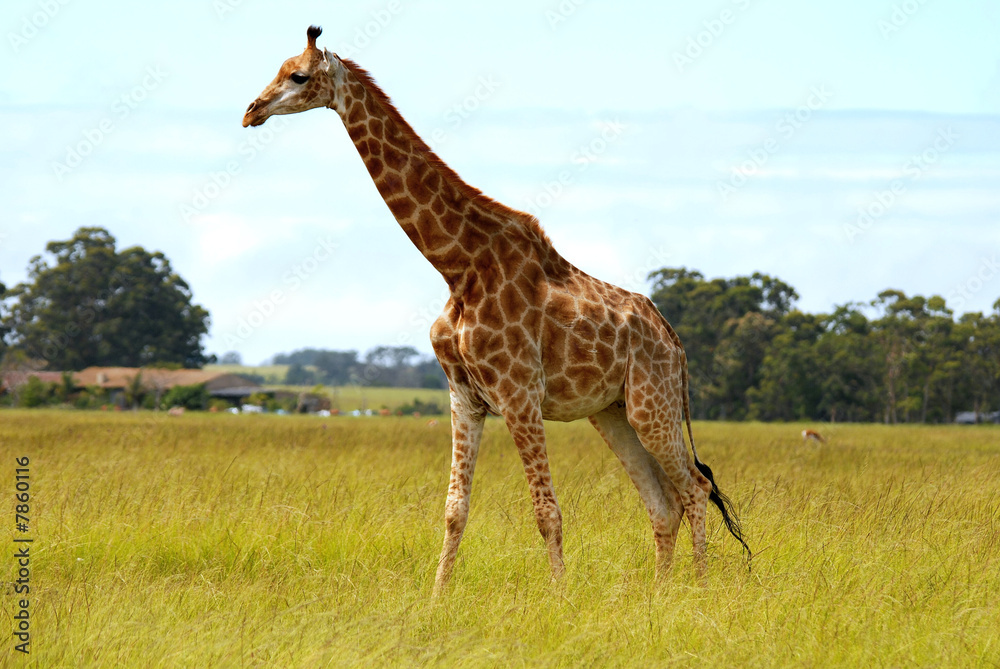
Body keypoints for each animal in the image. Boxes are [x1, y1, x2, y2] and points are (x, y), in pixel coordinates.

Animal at [243, 26, 750, 592]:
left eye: (298, 76)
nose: (251, 111)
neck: (459, 266)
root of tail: (674, 341)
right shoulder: (463, 396)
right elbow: (454, 510)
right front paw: (436, 598)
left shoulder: (519, 393)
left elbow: (547, 511)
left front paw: (559, 598)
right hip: (612, 413)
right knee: (663, 503)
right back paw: (658, 597)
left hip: (651, 403)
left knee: (695, 488)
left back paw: (695, 591)